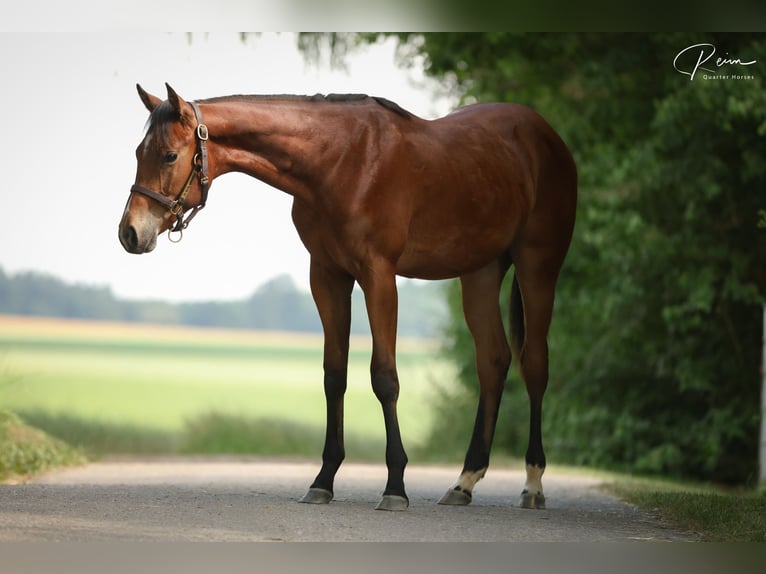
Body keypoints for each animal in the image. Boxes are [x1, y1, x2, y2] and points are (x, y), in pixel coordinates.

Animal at [118, 84, 577, 511]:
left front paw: (395, 487)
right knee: (493, 361)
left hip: (538, 265)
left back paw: (533, 484)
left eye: (169, 156)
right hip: (480, 272)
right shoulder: (327, 275)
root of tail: (547, 136)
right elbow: (333, 376)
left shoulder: (379, 275)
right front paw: (323, 480)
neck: (339, 162)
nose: (130, 233)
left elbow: (384, 377)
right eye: (140, 151)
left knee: (535, 364)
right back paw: (464, 481)